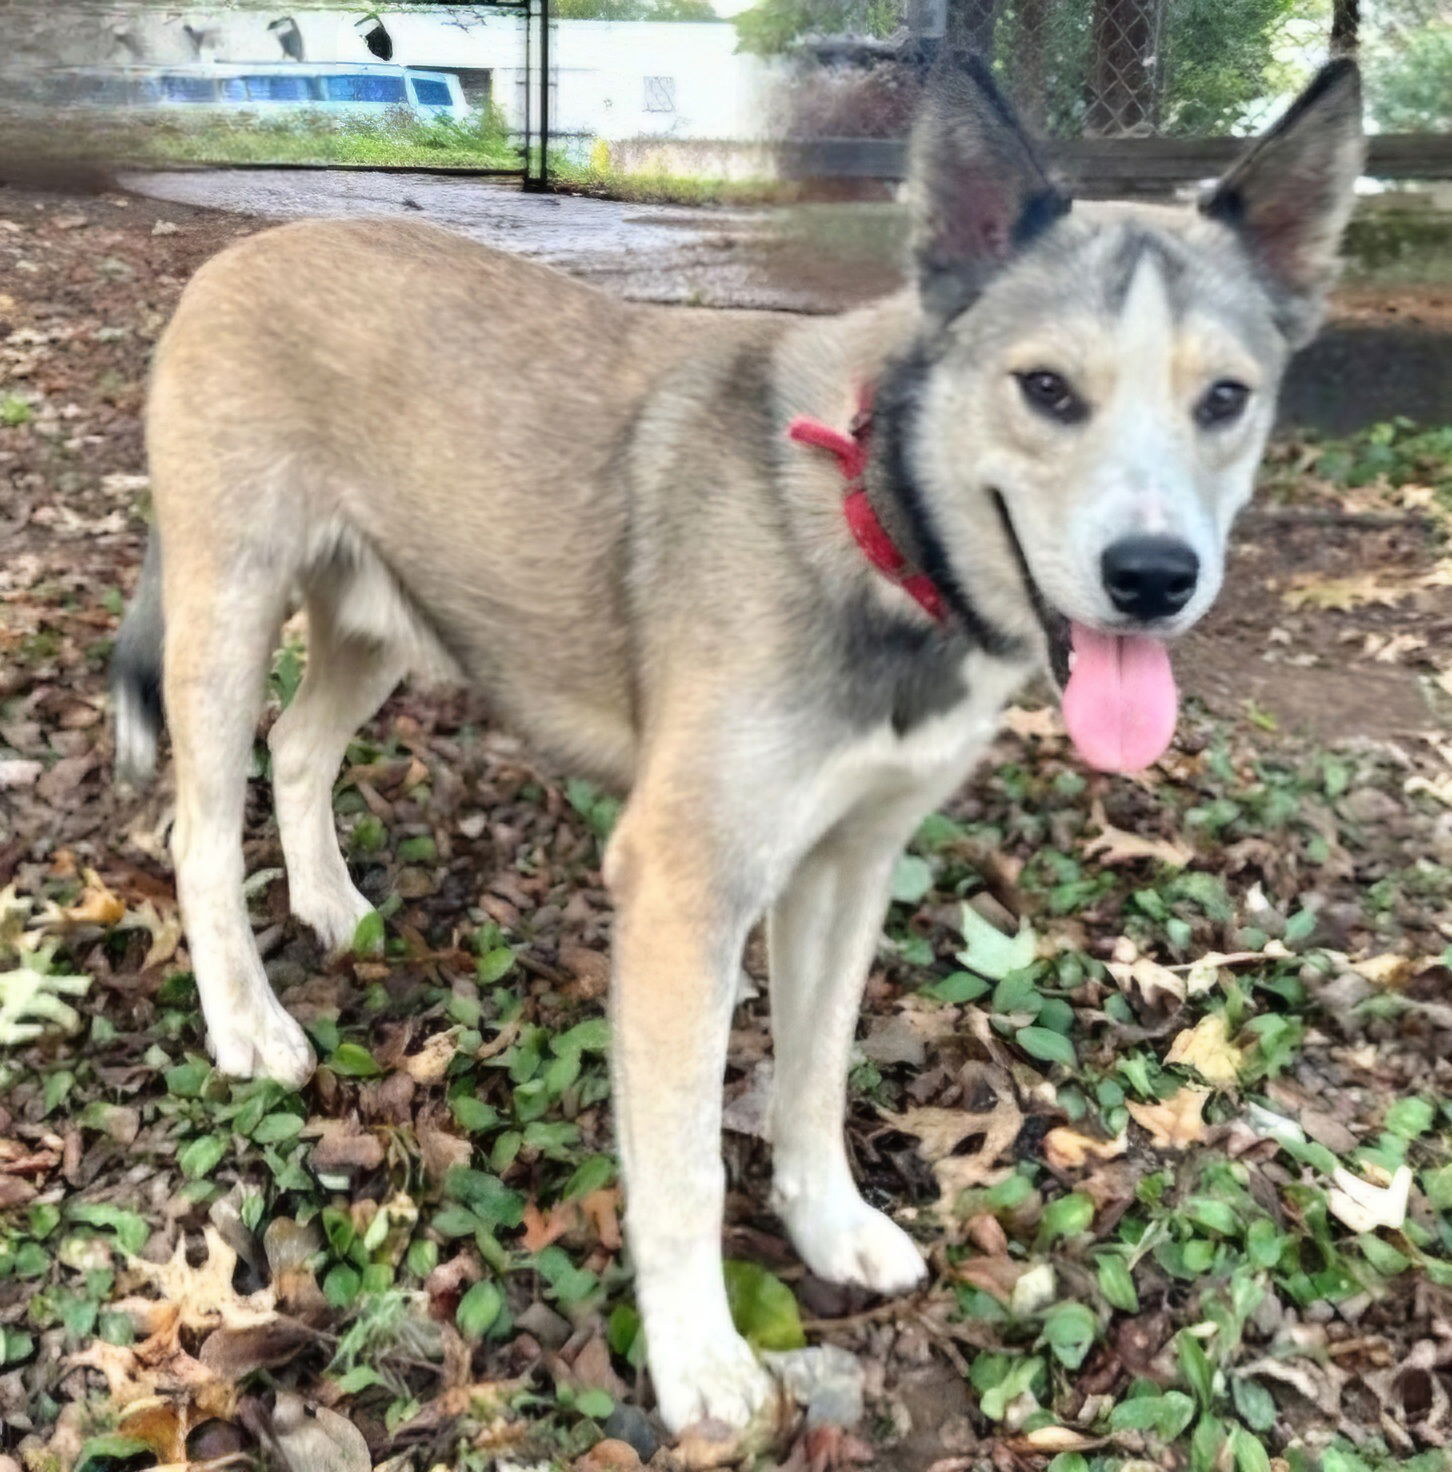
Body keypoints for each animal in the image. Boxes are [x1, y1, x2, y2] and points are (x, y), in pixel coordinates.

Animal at [110, 54, 1360, 1424]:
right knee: (199, 825)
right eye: (1046, 388)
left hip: (389, 620)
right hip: (228, 612)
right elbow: (686, 1165)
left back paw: (333, 903)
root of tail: (239, 256)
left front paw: (830, 1228)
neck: (877, 521)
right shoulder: (681, 889)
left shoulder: (845, 869)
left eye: (1225, 400)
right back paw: (246, 1019)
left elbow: (814, 1080)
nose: (1154, 577)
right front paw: (700, 1358)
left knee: (298, 749)